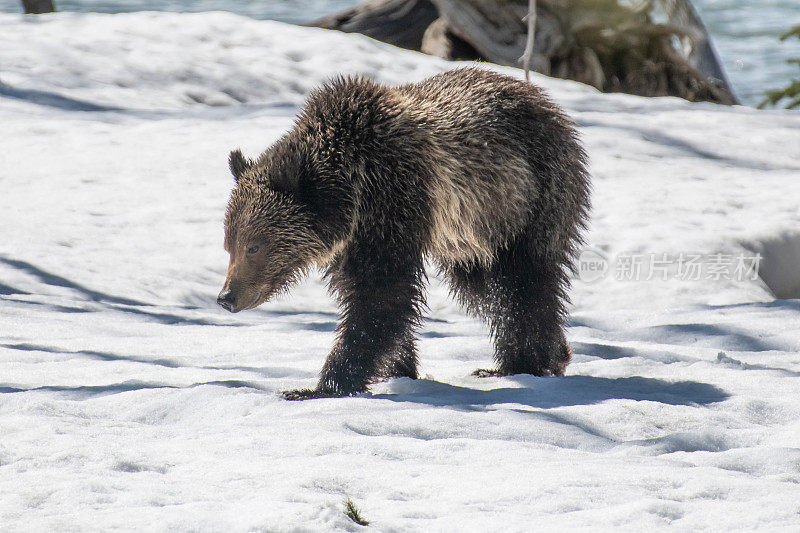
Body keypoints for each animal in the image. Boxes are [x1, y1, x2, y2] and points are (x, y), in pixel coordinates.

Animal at [216, 67, 592, 400]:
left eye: (254, 246)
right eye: (228, 245)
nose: (226, 297)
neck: (353, 190)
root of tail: (544, 99)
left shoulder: (394, 203)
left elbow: (382, 295)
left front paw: (321, 386)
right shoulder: (353, 240)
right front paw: (397, 368)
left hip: (529, 201)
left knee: (523, 283)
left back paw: (531, 362)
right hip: (472, 240)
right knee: (487, 290)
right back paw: (534, 358)